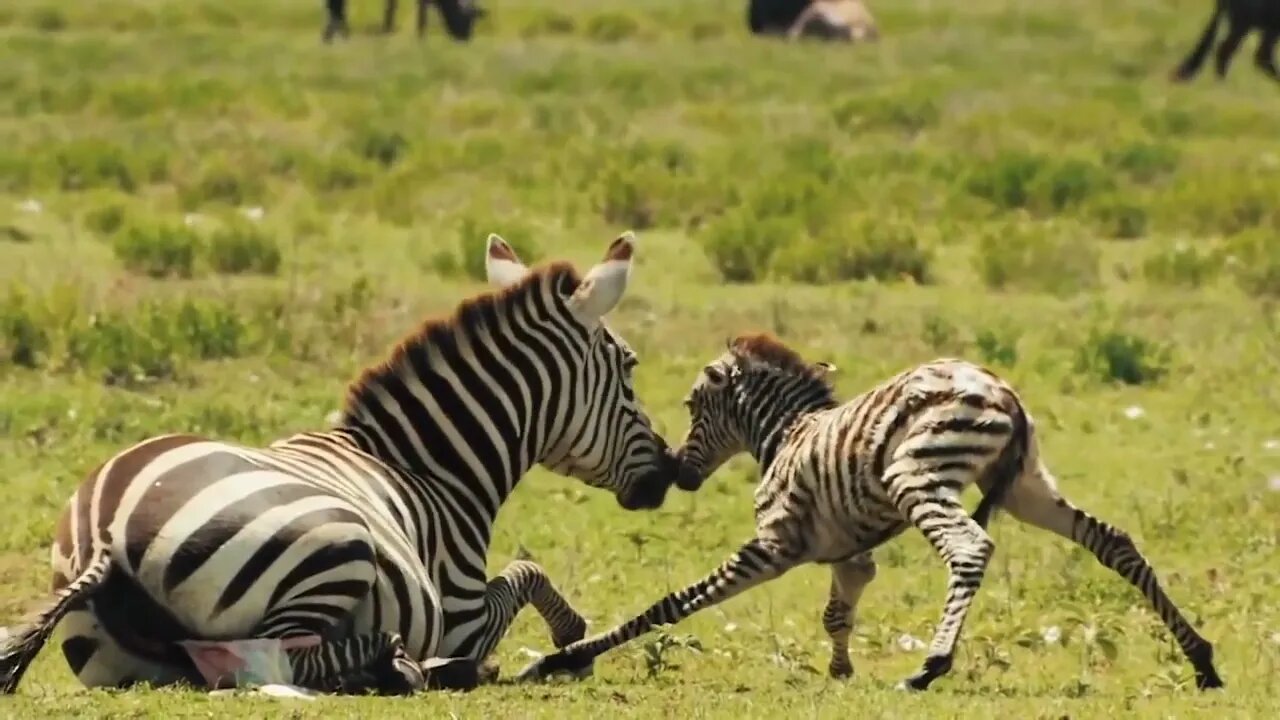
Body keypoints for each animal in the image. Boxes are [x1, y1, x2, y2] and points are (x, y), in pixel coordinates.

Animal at [0, 233, 680, 691]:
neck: (429, 466)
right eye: (629, 367)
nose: (670, 472)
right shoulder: (463, 610)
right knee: (264, 659)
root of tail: (104, 535)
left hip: (118, 660)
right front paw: (573, 638)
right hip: (336, 545)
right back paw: (400, 663)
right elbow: (525, 571)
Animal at [514, 330, 1223, 691]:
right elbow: (837, 611)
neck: (786, 433)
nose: (676, 474)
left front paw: (563, 659)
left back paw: (930, 667)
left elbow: (671, 604)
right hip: (1027, 486)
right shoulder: (850, 554)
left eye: (691, 406)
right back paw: (1202, 660)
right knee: (1115, 541)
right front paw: (840, 671)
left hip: (921, 473)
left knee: (969, 549)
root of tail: (1007, 394)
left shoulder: (774, 544)